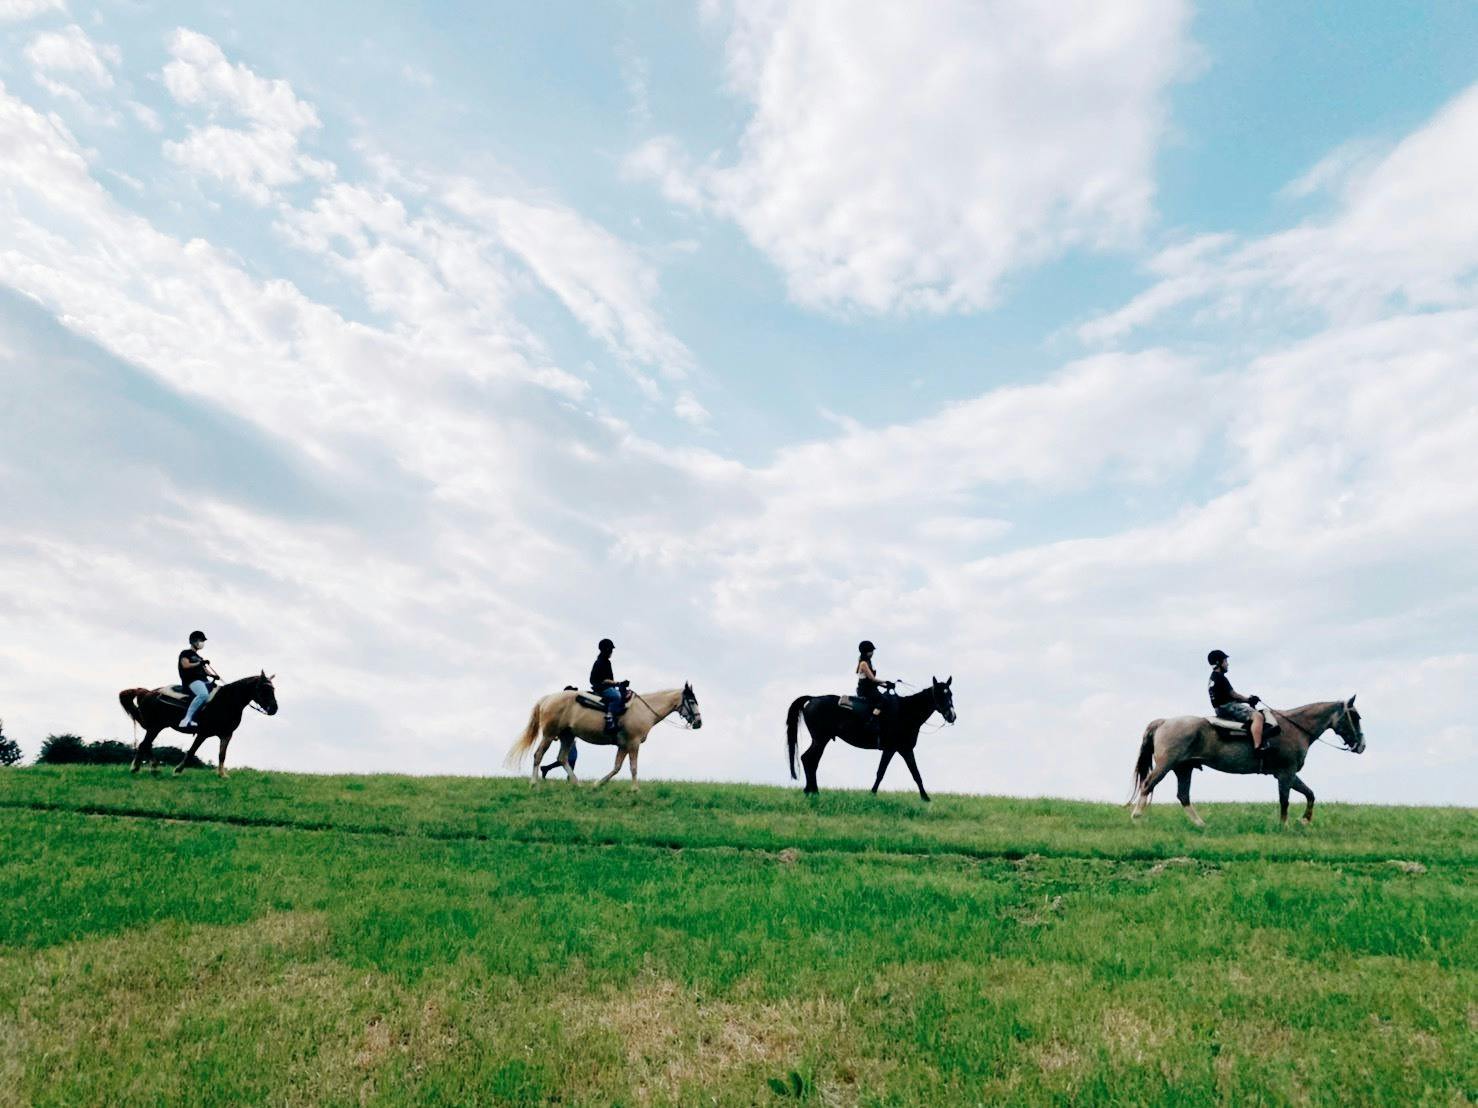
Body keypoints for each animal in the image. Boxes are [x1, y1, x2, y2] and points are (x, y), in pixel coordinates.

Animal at [117, 673, 277, 774]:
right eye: (264, 689)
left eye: (273, 688)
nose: (274, 709)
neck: (227, 700)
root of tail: (146, 692)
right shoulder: (203, 733)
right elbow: (191, 751)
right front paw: (178, 770)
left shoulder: (226, 734)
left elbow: (222, 755)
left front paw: (222, 774)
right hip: (156, 727)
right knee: (144, 744)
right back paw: (140, 768)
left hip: (156, 727)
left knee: (146, 744)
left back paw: (150, 767)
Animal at [505, 685, 700, 791]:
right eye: (691, 701)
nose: (699, 722)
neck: (643, 710)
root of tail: (547, 699)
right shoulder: (633, 743)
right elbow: (633, 767)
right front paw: (635, 789)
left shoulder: (623, 745)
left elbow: (617, 767)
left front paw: (597, 784)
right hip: (549, 734)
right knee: (539, 755)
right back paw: (533, 783)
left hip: (567, 736)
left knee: (562, 758)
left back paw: (577, 784)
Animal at [786, 682, 957, 803]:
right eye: (939, 694)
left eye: (951, 694)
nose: (952, 716)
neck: (906, 712)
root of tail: (813, 698)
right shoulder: (895, 749)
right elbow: (885, 772)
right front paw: (872, 794)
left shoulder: (902, 749)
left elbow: (912, 773)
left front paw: (925, 797)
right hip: (821, 739)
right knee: (809, 759)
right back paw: (813, 791)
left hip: (821, 740)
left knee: (810, 760)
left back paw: (810, 791)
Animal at [1129, 697, 1359, 827]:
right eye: (1355, 718)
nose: (1361, 745)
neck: (1294, 727)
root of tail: (1164, 722)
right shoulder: (1286, 773)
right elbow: (1285, 800)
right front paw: (1284, 825)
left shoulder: (1288, 774)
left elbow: (1310, 794)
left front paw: (1305, 820)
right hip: (1166, 765)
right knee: (1148, 784)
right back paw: (1137, 815)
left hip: (1183, 768)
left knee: (1183, 796)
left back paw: (1200, 824)